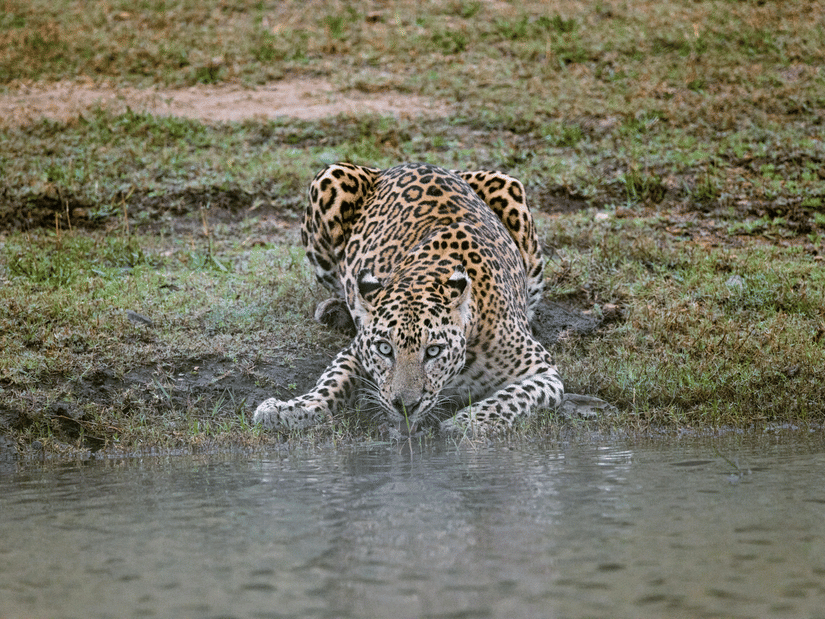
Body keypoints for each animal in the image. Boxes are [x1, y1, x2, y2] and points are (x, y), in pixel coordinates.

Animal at [253, 161, 565, 436]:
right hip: (328, 179)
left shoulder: (545, 373)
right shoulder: (356, 349)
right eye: (384, 349)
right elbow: (331, 381)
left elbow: (514, 397)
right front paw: (289, 409)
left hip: (512, 191)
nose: (405, 406)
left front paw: (467, 422)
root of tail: (400, 166)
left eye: (434, 351)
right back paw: (335, 310)